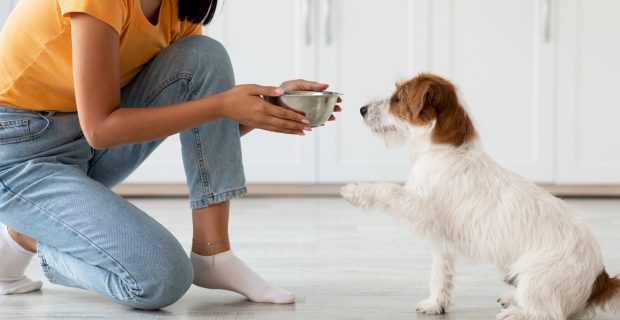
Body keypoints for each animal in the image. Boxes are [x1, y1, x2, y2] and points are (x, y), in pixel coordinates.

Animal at [342, 73, 616, 320]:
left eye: (397, 98)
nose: (362, 109)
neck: (446, 151)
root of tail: (600, 279)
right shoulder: (443, 242)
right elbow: (440, 275)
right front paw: (436, 304)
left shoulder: (420, 208)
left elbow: (388, 189)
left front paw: (355, 190)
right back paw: (512, 299)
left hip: (535, 277)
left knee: (548, 313)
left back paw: (516, 313)